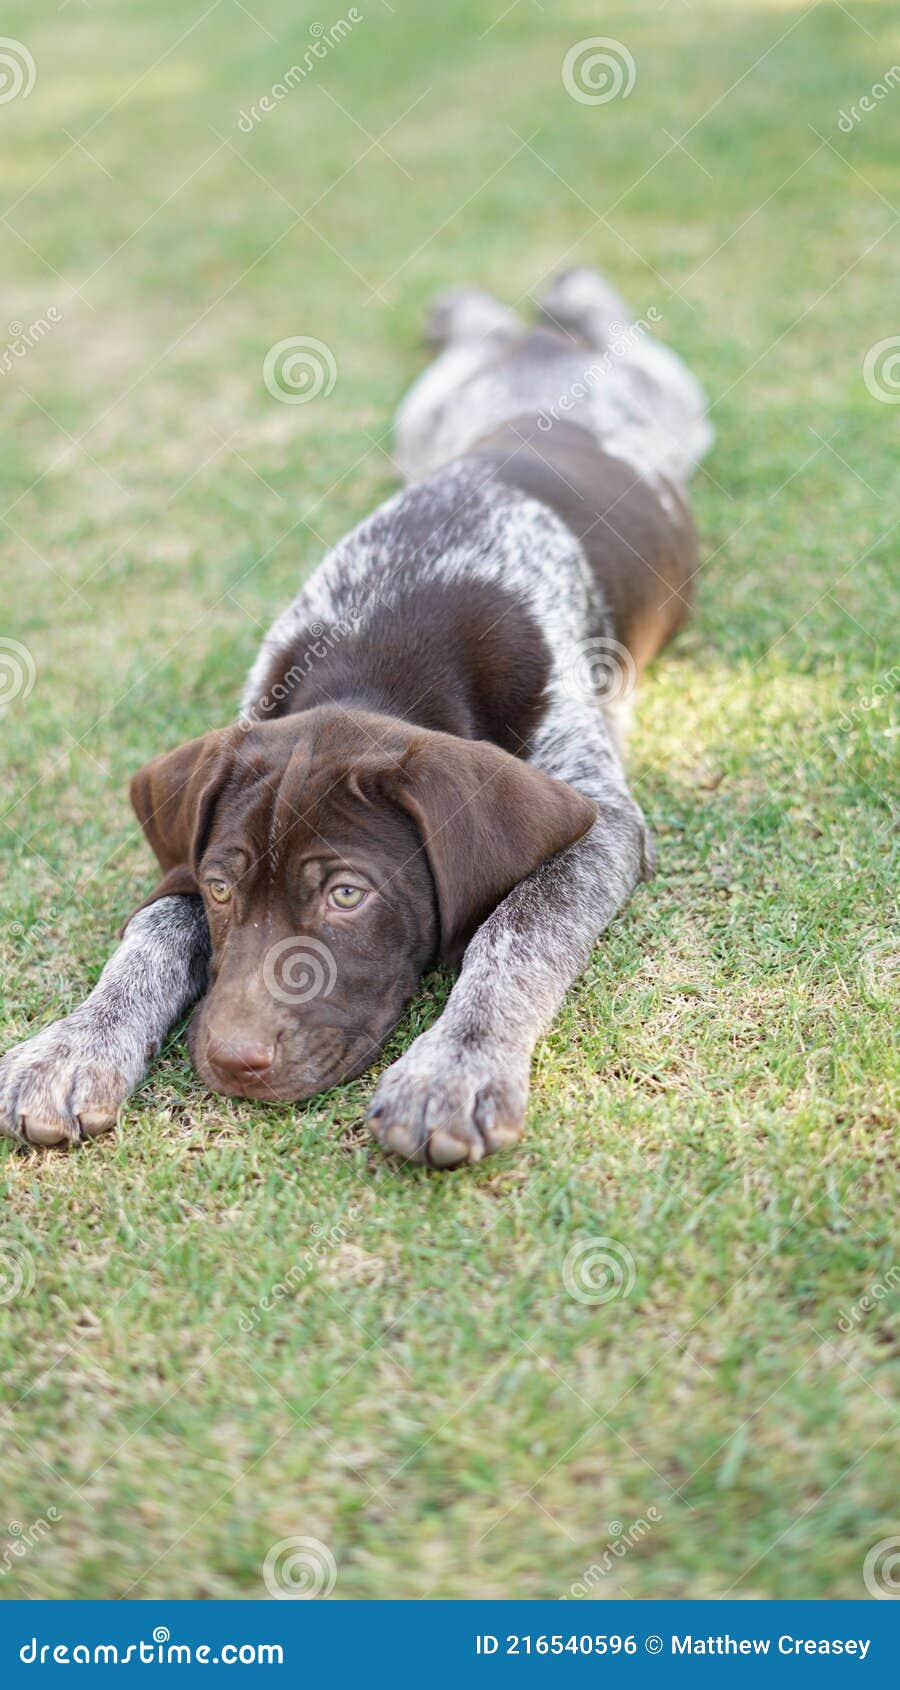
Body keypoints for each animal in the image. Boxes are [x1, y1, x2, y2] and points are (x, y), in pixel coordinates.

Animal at [0, 267, 709, 1162]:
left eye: (346, 896)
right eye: (222, 887)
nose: (231, 1061)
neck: (383, 647)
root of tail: (537, 361)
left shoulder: (599, 820)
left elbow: (513, 932)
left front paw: (456, 1065)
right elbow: (154, 929)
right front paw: (76, 1044)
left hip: (670, 400)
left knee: (617, 333)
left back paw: (571, 293)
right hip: (429, 409)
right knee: (487, 334)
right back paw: (476, 310)